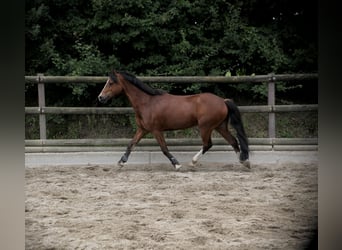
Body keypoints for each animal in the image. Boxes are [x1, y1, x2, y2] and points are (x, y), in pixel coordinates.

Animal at [97, 70, 250, 170]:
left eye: (111, 83)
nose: (100, 97)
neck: (147, 102)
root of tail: (223, 101)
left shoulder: (156, 130)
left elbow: (164, 148)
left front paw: (176, 164)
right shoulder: (143, 129)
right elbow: (131, 144)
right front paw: (121, 162)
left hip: (206, 127)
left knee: (208, 144)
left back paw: (193, 162)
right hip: (220, 126)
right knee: (233, 141)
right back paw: (244, 161)